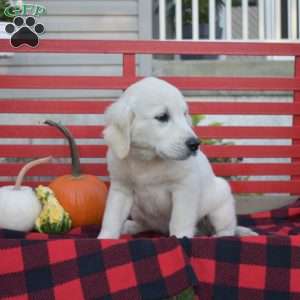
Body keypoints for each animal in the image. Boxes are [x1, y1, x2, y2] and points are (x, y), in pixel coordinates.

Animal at [97, 77, 256, 239]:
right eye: (162, 117)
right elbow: (111, 218)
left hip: (221, 206)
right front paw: (105, 238)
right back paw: (130, 226)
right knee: (145, 225)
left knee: (227, 229)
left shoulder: (184, 188)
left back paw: (221, 235)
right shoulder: (121, 189)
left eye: (184, 114)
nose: (195, 144)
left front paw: (180, 238)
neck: (148, 160)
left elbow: (179, 221)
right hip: (137, 211)